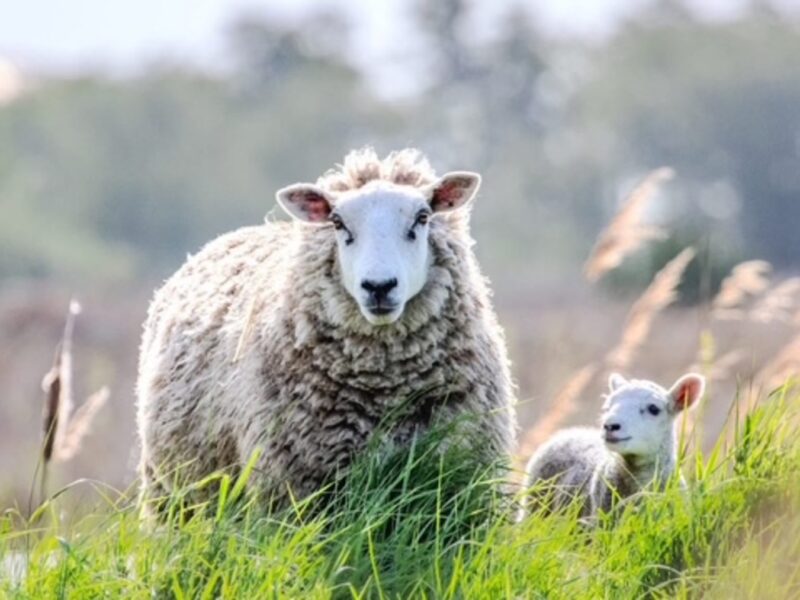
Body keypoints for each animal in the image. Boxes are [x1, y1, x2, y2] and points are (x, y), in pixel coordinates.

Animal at [136, 147, 517, 512]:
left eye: (422, 217)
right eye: (337, 222)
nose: (379, 286)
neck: (386, 390)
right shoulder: (295, 487)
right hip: (171, 494)